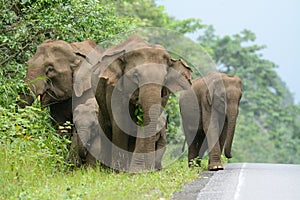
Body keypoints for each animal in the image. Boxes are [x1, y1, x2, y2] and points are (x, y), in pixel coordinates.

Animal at [92, 34, 193, 172]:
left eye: (164, 78)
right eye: (135, 75)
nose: (149, 170)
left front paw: (136, 171)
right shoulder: (114, 89)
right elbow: (121, 122)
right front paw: (119, 171)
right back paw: (106, 169)